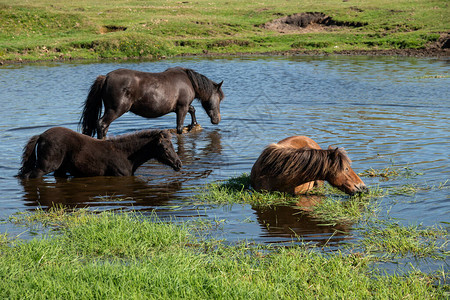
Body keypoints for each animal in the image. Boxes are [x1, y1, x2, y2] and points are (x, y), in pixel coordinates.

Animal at [17, 126, 183, 178]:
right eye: (165, 148)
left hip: (61, 170)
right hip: (45, 167)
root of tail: (41, 136)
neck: (125, 154)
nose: (179, 164)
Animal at [80, 67, 225, 138]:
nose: (217, 119)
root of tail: (106, 77)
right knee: (102, 124)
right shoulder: (182, 107)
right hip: (116, 109)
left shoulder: (180, 107)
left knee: (104, 127)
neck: (188, 80)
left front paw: (193, 124)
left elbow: (192, 109)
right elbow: (179, 128)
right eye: (219, 98)